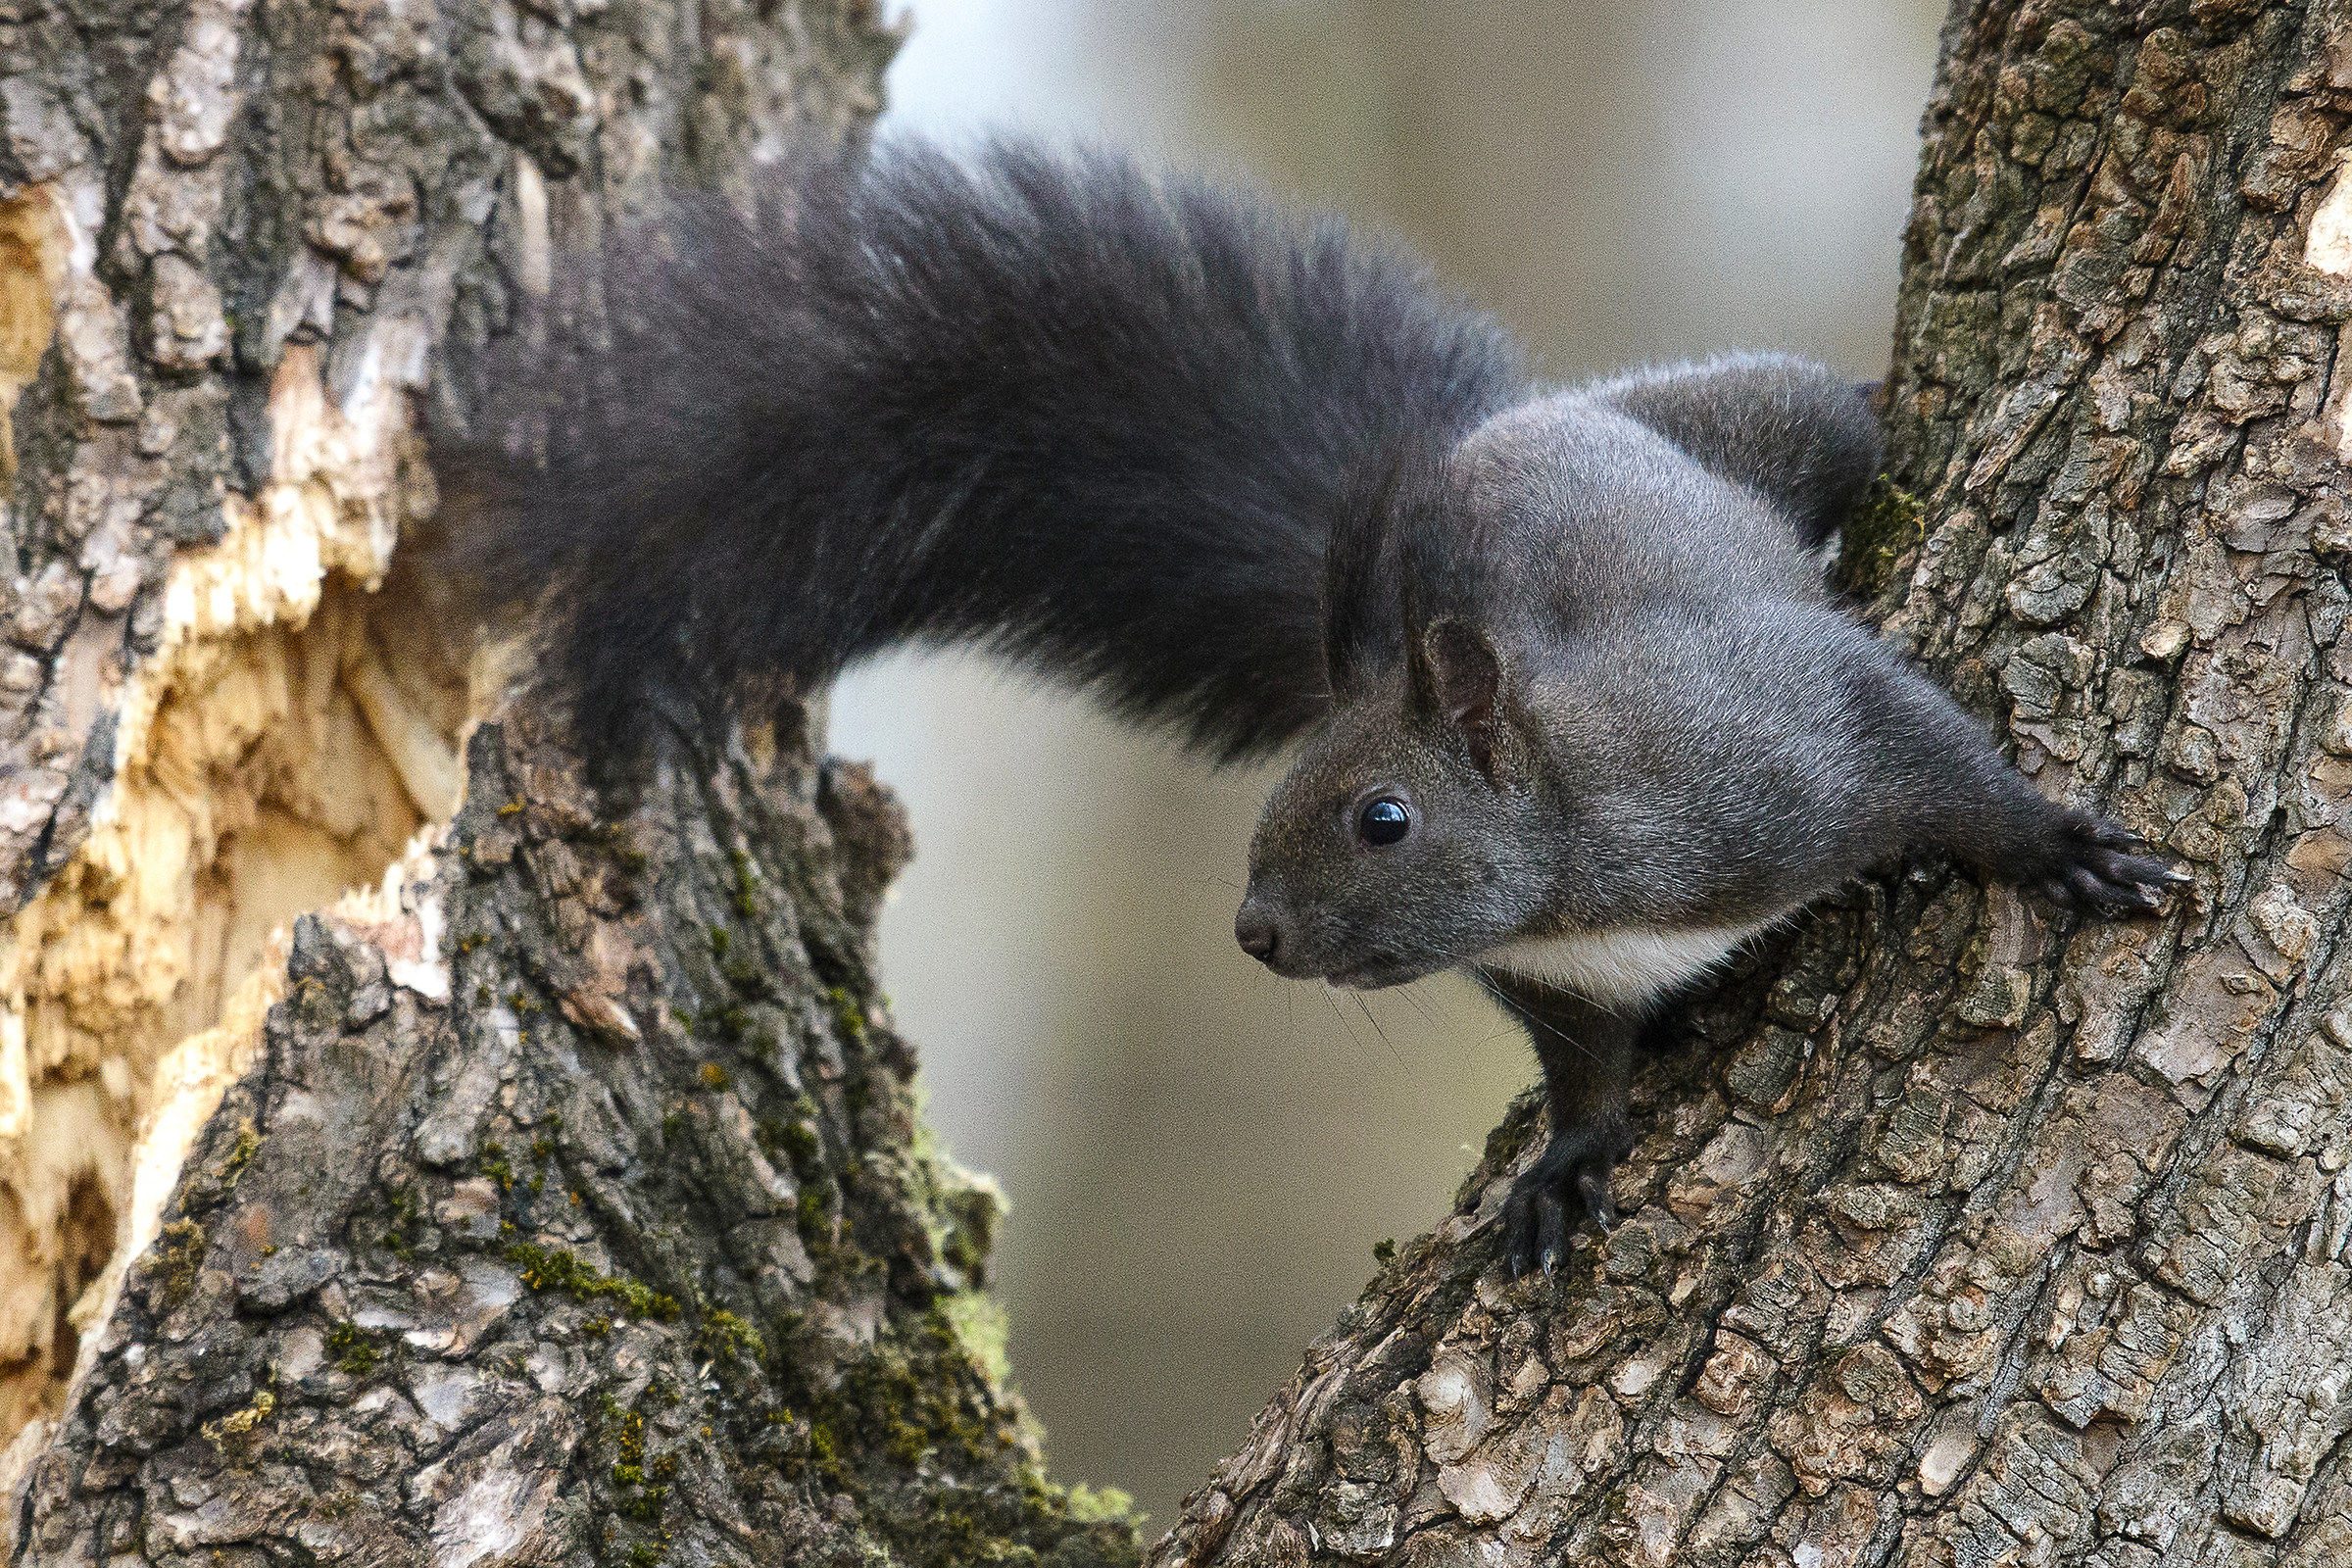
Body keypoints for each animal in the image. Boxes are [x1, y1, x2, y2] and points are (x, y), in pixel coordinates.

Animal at [442, 137, 2189, 1279]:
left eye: (1383, 818)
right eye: (1274, 808)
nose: (1256, 932)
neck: (1571, 880)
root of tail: (1491, 432)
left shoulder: (1779, 741)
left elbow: (1934, 760)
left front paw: (2064, 853)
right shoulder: (1551, 988)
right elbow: (1587, 1076)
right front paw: (1563, 1171)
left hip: (1755, 430)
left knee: (1820, 421)